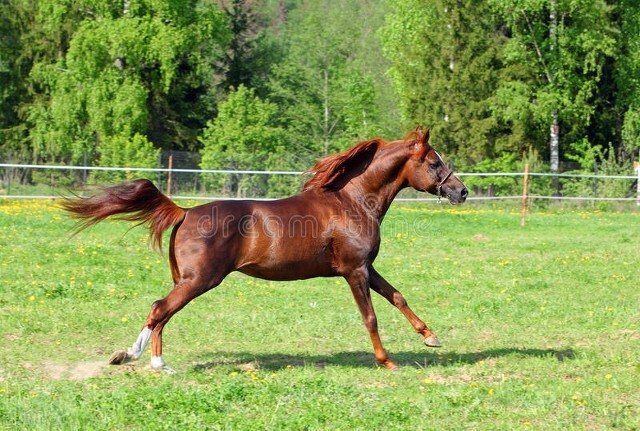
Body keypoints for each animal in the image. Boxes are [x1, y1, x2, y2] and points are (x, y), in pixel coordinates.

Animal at [62, 126, 468, 372]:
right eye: (435, 162)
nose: (461, 191)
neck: (352, 201)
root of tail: (185, 211)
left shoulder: (367, 267)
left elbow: (397, 296)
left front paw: (431, 337)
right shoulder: (354, 270)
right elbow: (371, 317)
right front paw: (388, 362)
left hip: (189, 280)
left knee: (161, 313)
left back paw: (153, 362)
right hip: (199, 280)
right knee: (159, 308)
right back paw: (141, 360)